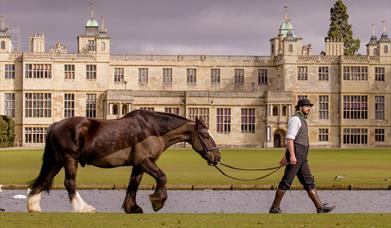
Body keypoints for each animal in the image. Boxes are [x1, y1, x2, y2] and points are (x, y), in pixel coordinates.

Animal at [27, 109, 220, 213]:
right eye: (205, 135)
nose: (217, 157)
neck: (153, 129)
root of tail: (55, 125)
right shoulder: (145, 161)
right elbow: (162, 177)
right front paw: (157, 201)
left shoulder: (139, 164)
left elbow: (133, 185)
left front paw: (132, 207)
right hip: (69, 159)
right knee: (70, 183)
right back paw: (83, 208)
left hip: (56, 161)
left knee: (43, 180)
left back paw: (33, 207)